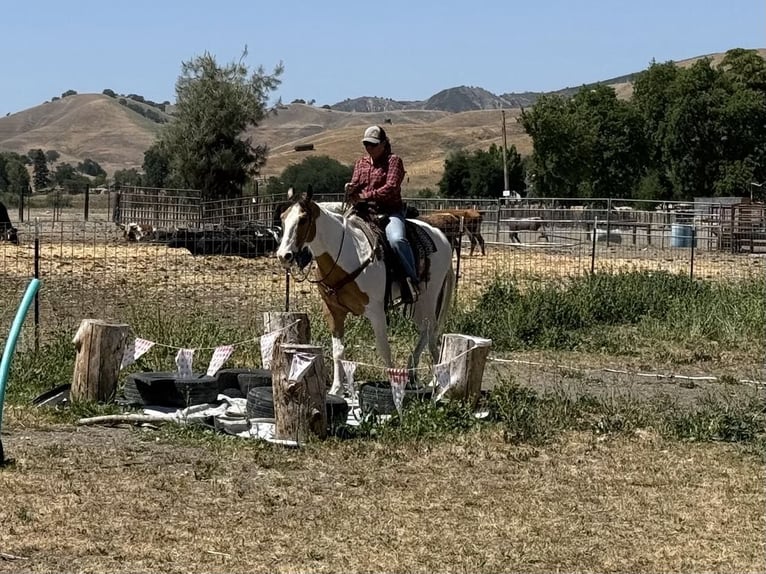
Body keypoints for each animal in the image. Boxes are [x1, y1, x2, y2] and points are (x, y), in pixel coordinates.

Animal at [276, 187, 455, 395]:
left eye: (303, 219)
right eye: (283, 218)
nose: (284, 255)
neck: (345, 255)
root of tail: (440, 236)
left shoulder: (376, 312)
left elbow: (383, 348)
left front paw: (394, 388)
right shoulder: (333, 311)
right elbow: (338, 351)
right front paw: (336, 389)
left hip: (429, 296)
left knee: (430, 330)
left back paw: (434, 380)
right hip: (418, 303)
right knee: (426, 331)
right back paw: (415, 373)